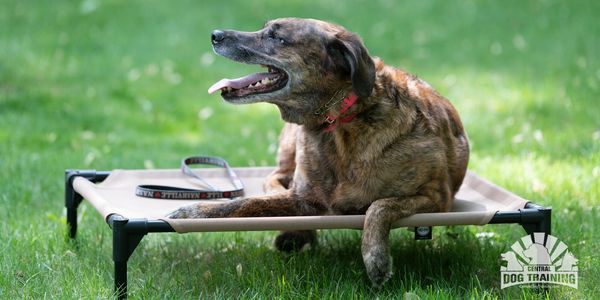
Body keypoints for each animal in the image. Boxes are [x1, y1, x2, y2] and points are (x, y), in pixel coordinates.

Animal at [168, 17, 468, 288]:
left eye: (277, 37)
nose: (215, 34)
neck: (342, 119)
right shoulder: (303, 199)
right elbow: (241, 203)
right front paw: (194, 211)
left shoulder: (436, 197)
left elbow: (379, 205)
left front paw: (375, 257)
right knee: (274, 179)